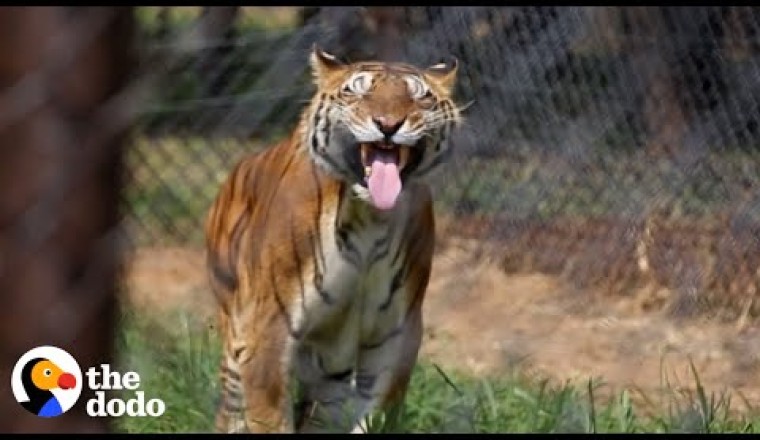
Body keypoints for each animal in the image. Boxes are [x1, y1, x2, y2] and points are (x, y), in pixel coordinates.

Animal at [204, 44, 463, 433]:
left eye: (421, 97)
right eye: (357, 91)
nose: (388, 125)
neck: (371, 219)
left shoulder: (395, 337)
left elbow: (374, 413)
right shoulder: (269, 329)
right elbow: (270, 417)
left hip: (332, 367)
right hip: (236, 334)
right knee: (231, 409)